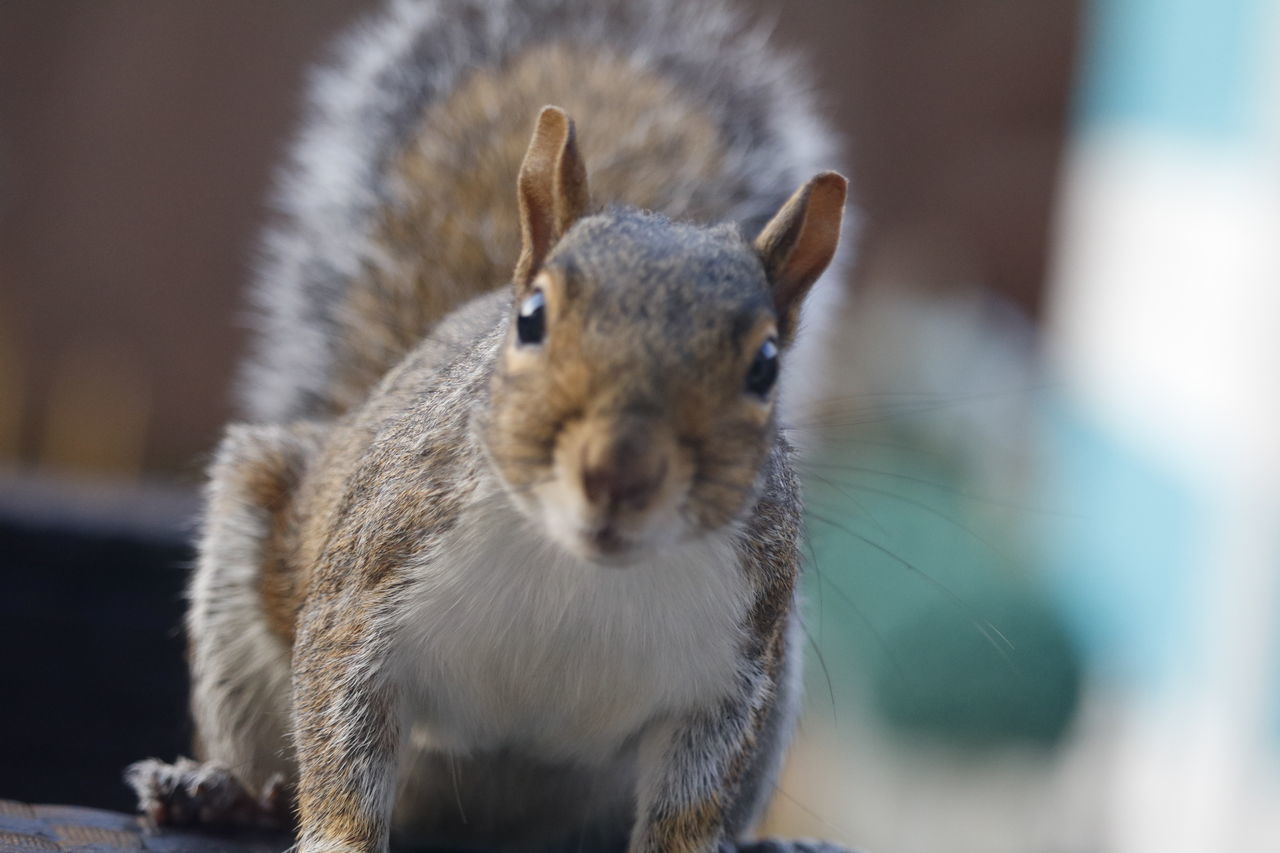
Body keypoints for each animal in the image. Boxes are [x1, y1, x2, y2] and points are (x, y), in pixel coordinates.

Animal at [127, 1, 849, 850]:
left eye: (766, 365)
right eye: (532, 319)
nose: (619, 472)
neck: (578, 571)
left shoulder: (727, 683)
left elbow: (690, 802)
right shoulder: (364, 598)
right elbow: (340, 741)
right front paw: (337, 834)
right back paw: (220, 790)